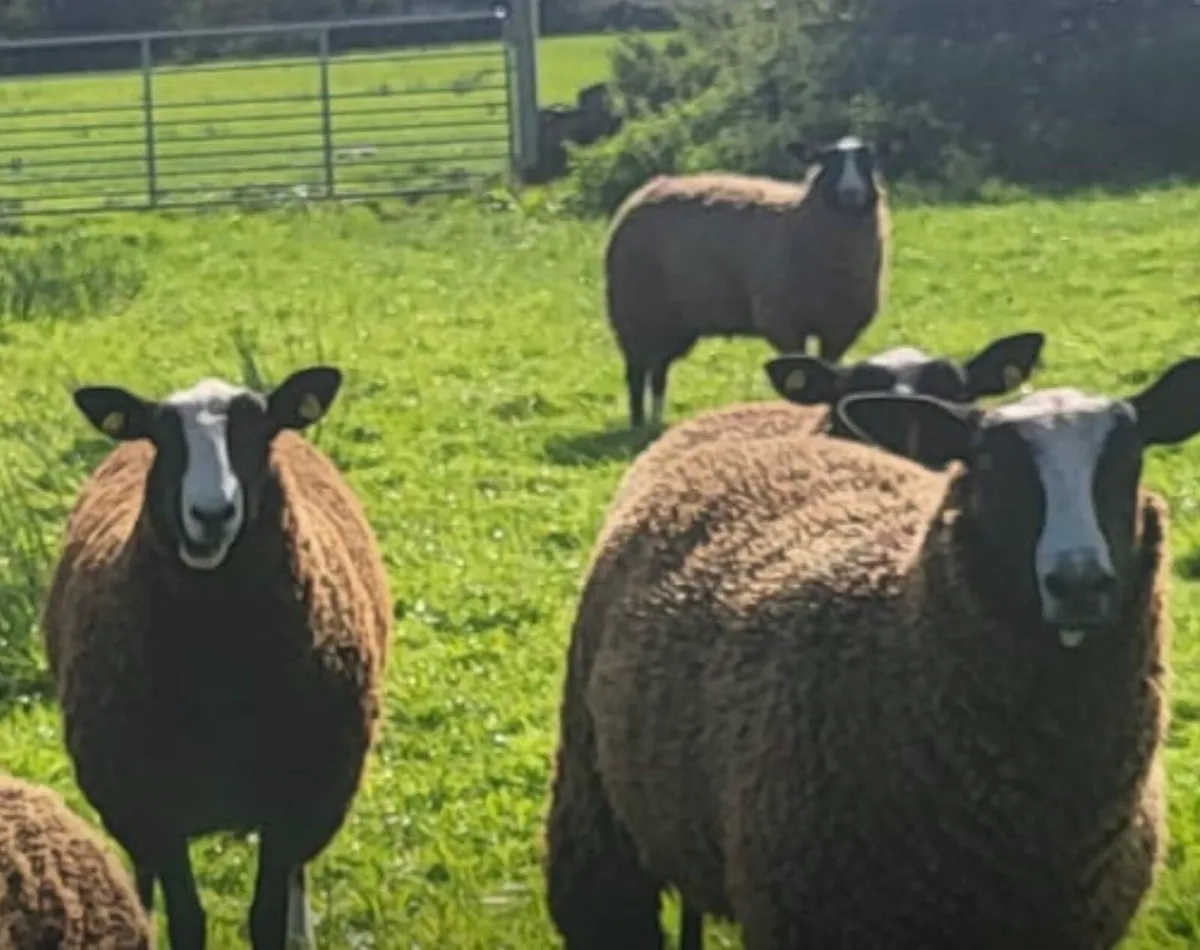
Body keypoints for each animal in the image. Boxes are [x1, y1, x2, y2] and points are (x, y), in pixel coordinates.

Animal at [41, 365, 392, 950]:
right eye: (162, 436)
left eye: (260, 430)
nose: (211, 514)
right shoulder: (152, 806)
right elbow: (189, 920)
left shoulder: (296, 801)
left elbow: (267, 916)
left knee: (297, 876)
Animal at [604, 135, 891, 430]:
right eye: (828, 161)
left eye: (868, 161)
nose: (851, 192)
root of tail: (644, 192)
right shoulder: (783, 322)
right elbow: (797, 376)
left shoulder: (839, 328)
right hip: (635, 311)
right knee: (636, 371)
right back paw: (639, 424)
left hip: (673, 322)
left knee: (658, 369)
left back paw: (656, 422)